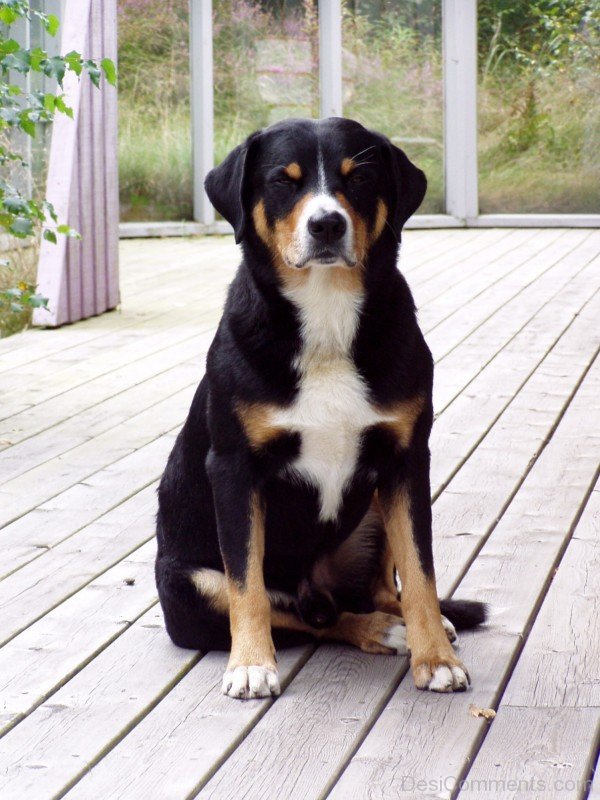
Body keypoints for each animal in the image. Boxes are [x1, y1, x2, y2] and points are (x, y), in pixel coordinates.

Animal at [156, 117, 488, 700]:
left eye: (358, 178)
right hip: (190, 586)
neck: (327, 320)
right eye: (282, 181)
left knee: (369, 593)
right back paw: (376, 627)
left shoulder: (405, 461)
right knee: (313, 617)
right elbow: (247, 585)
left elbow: (419, 572)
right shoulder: (234, 469)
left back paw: (402, 620)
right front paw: (250, 664)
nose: (327, 224)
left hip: (374, 498)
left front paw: (437, 658)